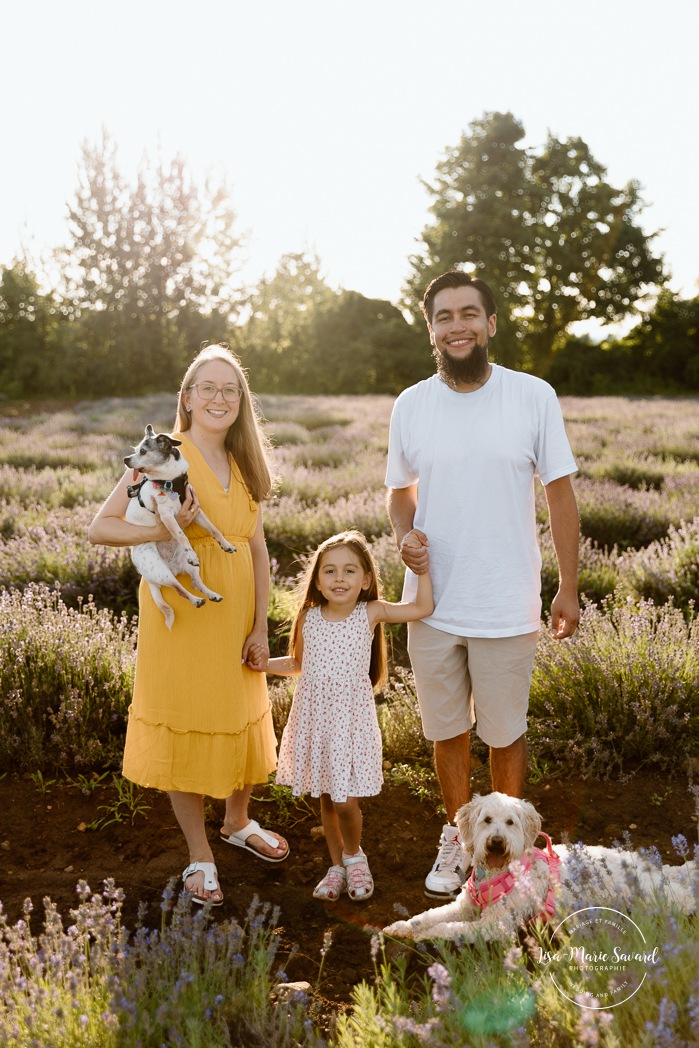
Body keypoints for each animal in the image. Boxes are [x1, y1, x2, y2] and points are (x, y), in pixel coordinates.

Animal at [124, 425, 236, 628]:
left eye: (142, 451)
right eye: (135, 449)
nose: (125, 459)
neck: (171, 480)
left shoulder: (196, 510)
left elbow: (213, 528)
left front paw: (226, 545)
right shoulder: (167, 515)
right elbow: (180, 534)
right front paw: (190, 552)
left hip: (189, 569)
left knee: (194, 583)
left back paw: (211, 595)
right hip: (160, 571)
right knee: (179, 588)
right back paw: (196, 600)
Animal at [385, 788, 695, 947]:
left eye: (510, 822)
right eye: (487, 820)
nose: (496, 842)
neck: (500, 873)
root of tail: (654, 867)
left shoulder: (493, 926)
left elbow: (449, 928)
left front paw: (424, 936)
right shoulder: (464, 907)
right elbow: (428, 916)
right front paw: (400, 927)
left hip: (655, 898)